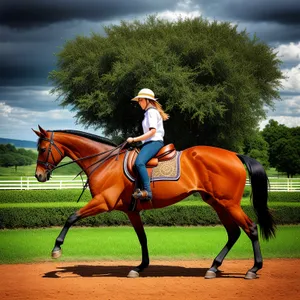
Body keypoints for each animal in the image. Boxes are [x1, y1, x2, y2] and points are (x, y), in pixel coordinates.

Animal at [33, 125, 276, 278]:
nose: (38, 176)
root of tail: (234, 155)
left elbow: (71, 216)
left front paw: (57, 248)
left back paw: (253, 269)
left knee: (251, 228)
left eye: (43, 149)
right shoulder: (131, 211)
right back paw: (213, 268)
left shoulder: (103, 202)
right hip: (217, 203)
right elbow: (143, 238)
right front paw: (140, 267)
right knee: (233, 233)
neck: (106, 161)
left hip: (229, 204)